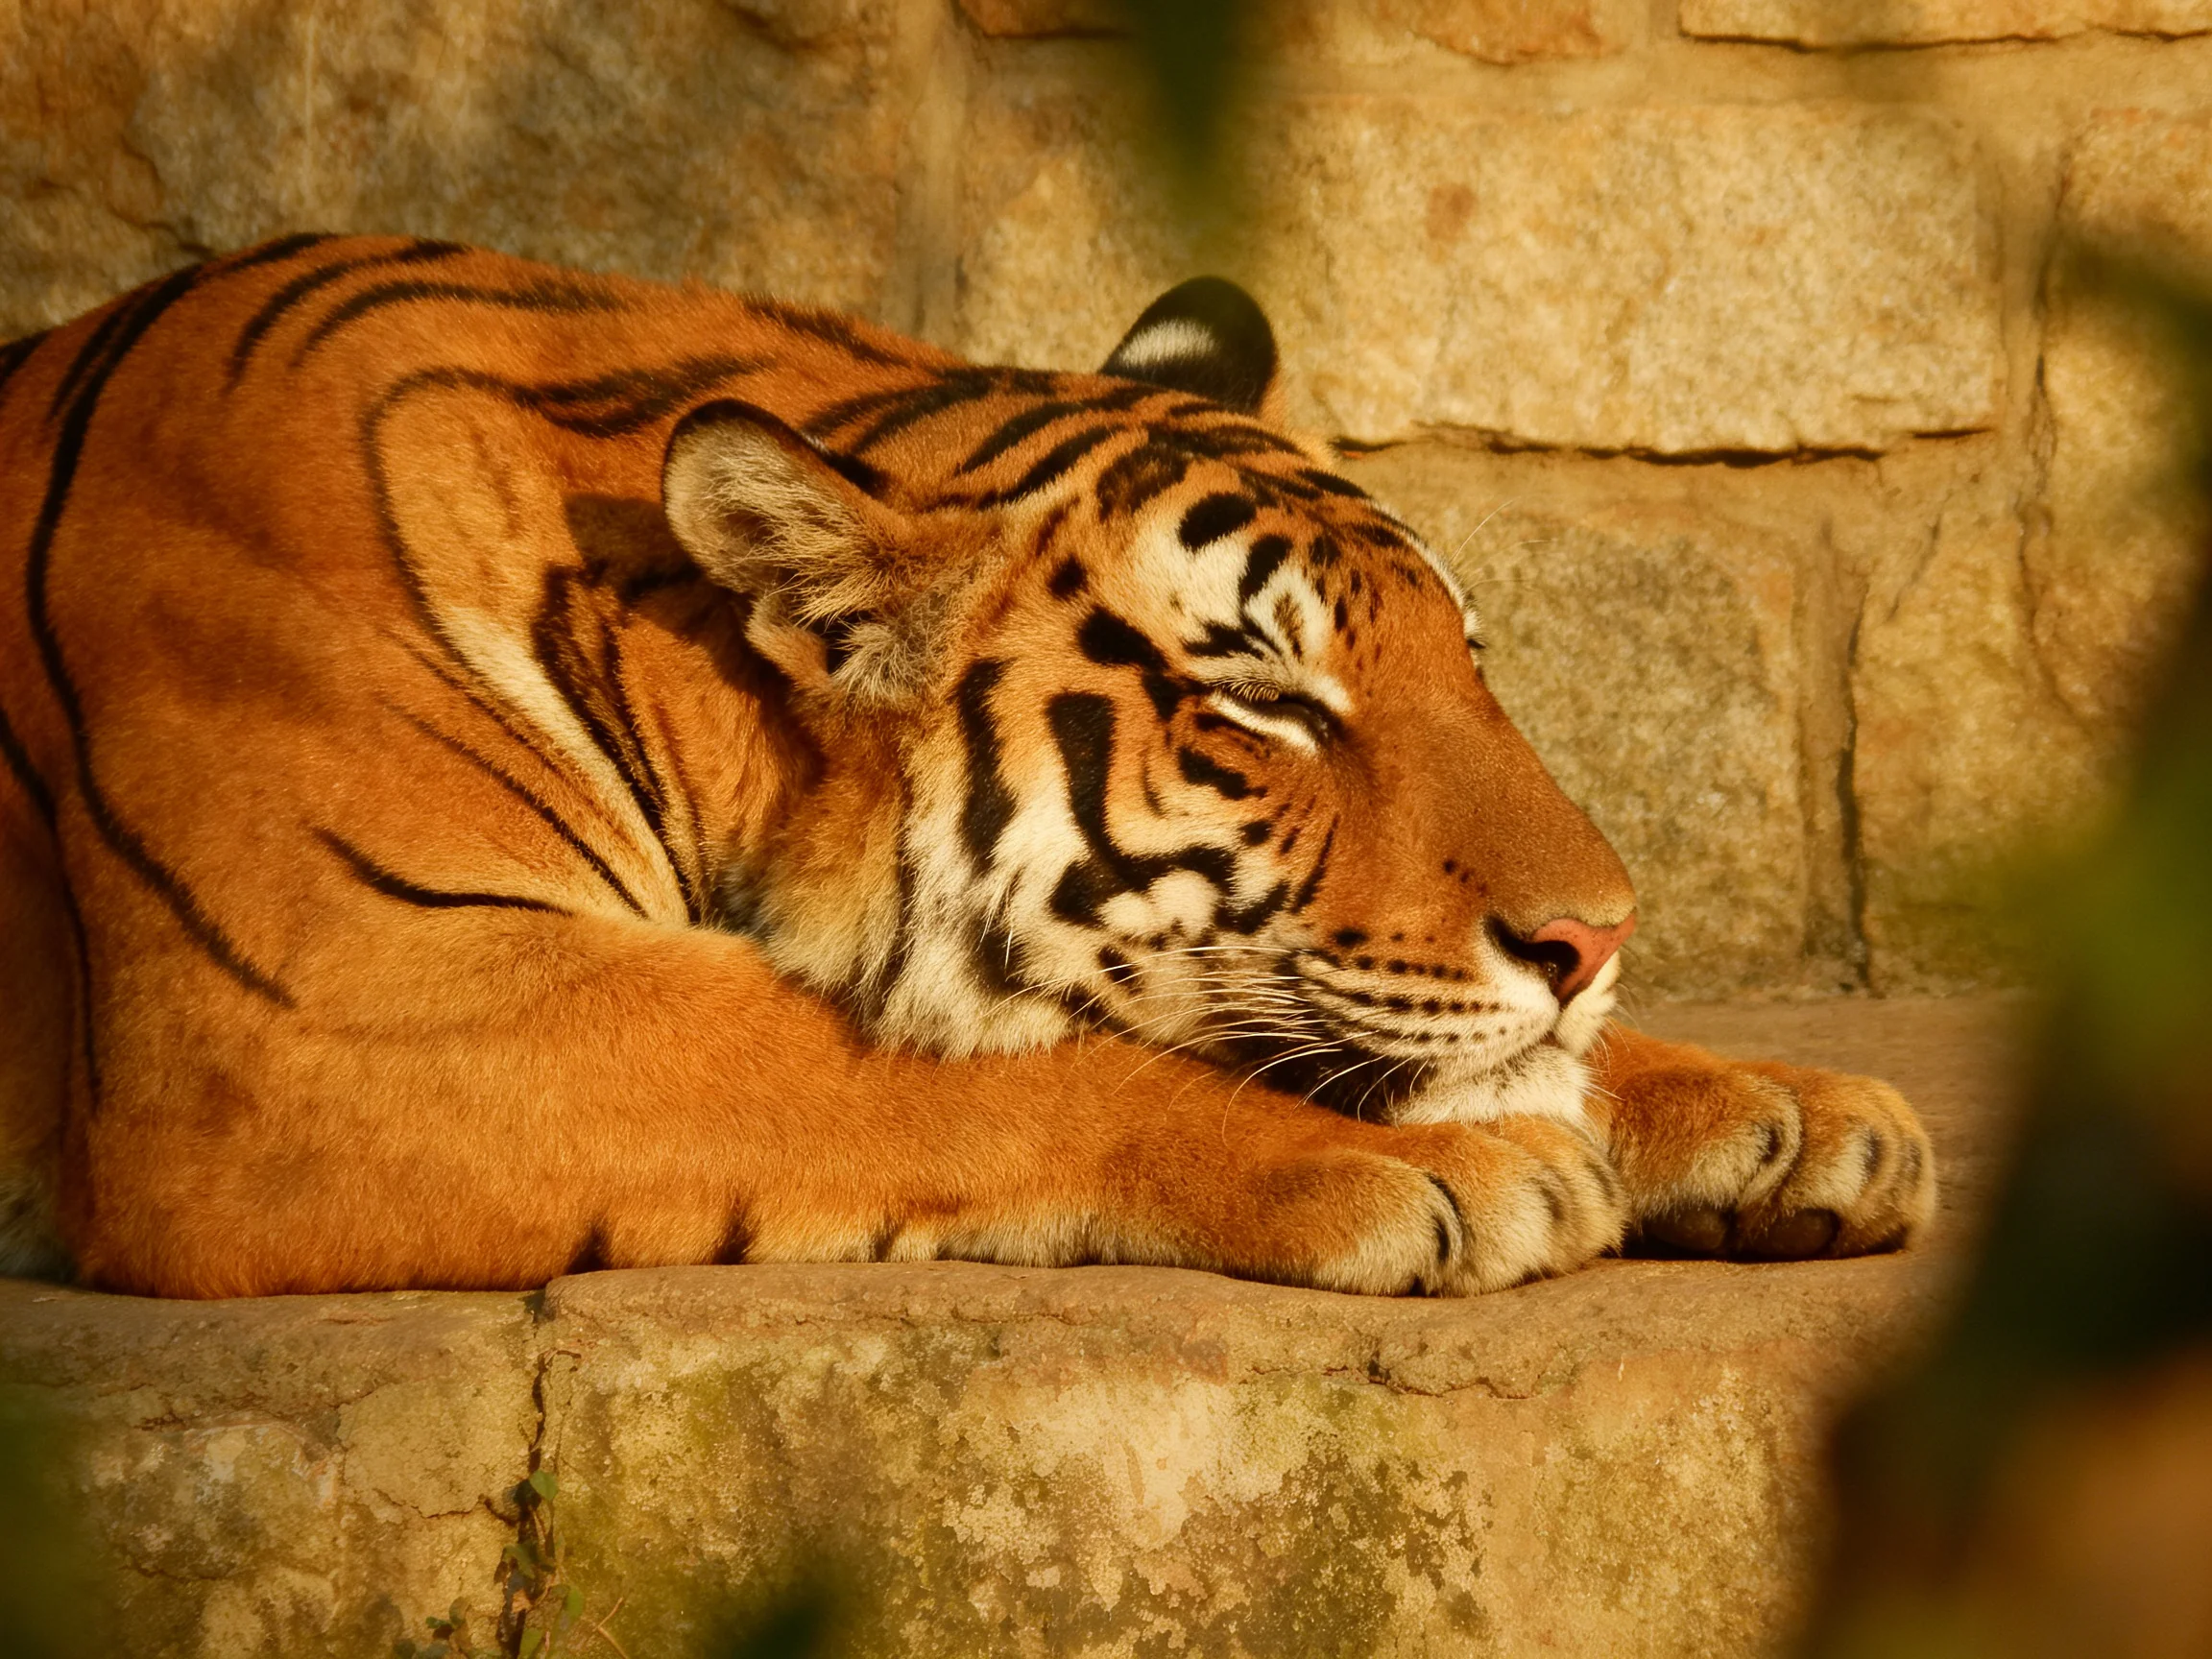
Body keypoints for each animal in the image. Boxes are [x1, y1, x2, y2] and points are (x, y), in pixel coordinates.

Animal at [0, 235, 1934, 1299]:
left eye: (1467, 662)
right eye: (1270, 702)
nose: (1598, 939)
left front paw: (1790, 1111)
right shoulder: (336, 1010)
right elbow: (962, 1073)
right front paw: (1475, 1166)